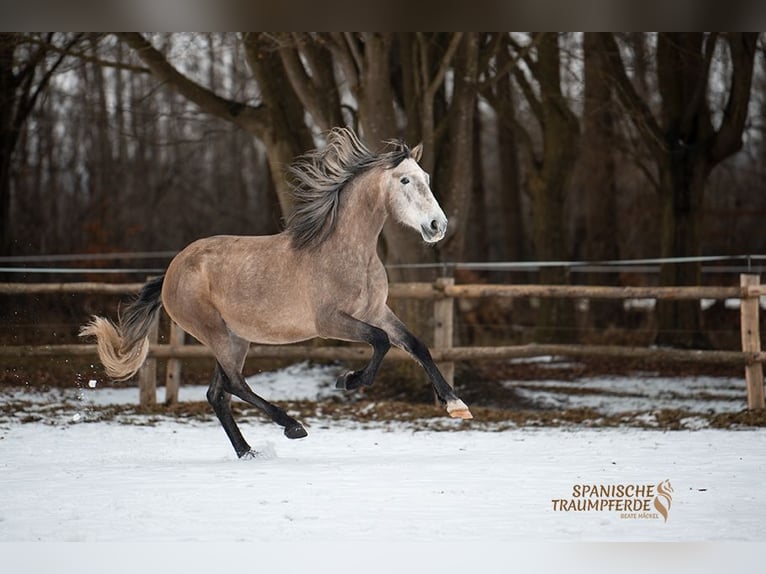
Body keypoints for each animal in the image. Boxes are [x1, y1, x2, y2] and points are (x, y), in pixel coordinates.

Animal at [80, 127, 473, 459]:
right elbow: (380, 341)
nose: (437, 226)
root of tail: (171, 271)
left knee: (218, 393)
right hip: (214, 332)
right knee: (235, 384)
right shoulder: (330, 322)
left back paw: (248, 452)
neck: (347, 252)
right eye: (405, 179)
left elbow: (415, 345)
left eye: (426, 179)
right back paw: (292, 426)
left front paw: (457, 406)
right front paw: (347, 381)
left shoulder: (376, 311)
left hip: (235, 337)